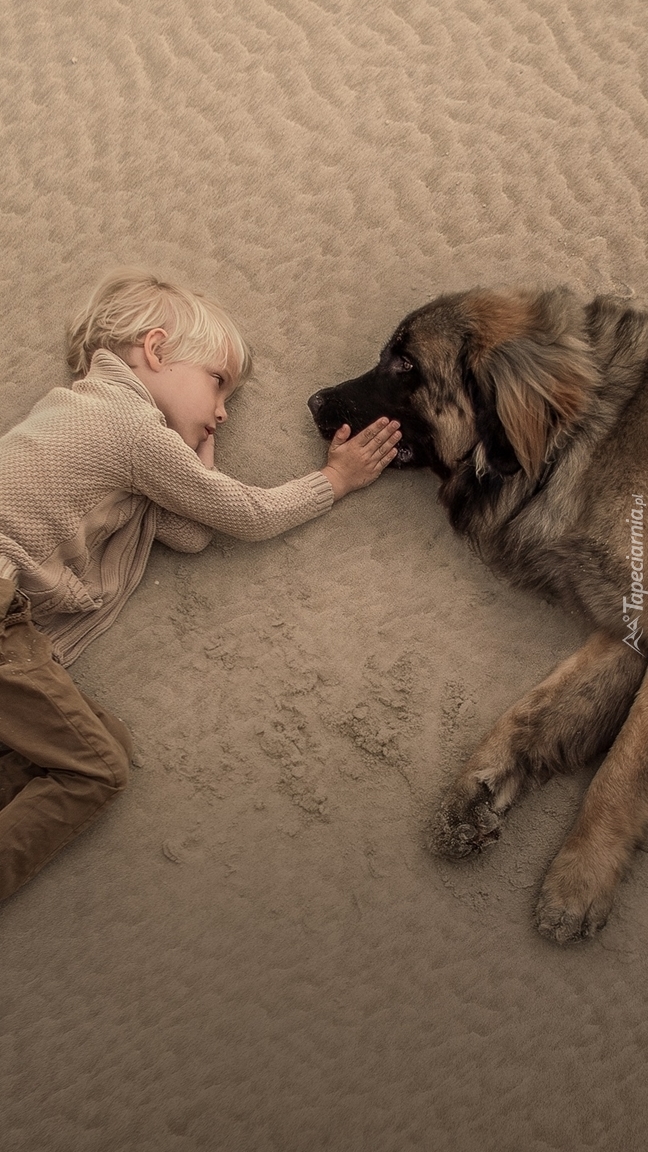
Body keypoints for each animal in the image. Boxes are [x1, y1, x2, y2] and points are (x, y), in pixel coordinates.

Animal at [304, 283, 645, 940]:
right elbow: (539, 710)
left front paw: (580, 877)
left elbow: (621, 770)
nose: (313, 402)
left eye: (406, 364)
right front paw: (478, 791)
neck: (584, 439)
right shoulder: (625, 625)